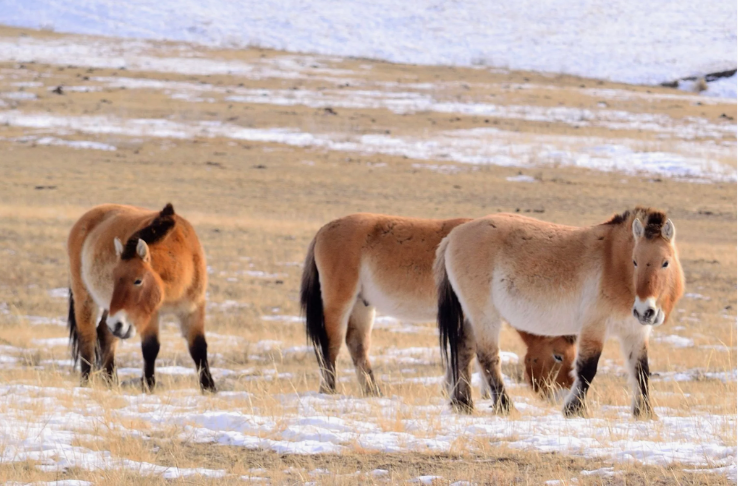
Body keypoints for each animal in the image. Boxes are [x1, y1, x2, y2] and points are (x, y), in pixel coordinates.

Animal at [65, 204, 216, 394]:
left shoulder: (193, 308)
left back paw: (112, 383)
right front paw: (148, 386)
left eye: (138, 280)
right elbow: (150, 348)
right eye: (114, 278)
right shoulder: (150, 314)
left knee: (105, 334)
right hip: (85, 299)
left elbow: (198, 347)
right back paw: (86, 384)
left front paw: (209, 387)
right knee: (87, 338)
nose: (117, 323)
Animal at [300, 215, 576, 398]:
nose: (561, 393)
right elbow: (470, 353)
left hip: (362, 305)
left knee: (357, 346)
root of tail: (323, 230)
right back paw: (329, 390)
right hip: (340, 301)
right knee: (331, 344)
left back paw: (373, 392)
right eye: (559, 356)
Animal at [434, 207, 680, 420]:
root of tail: (453, 236)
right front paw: (574, 409)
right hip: (485, 316)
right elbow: (587, 368)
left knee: (463, 351)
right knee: (487, 357)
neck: (614, 263)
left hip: (469, 316)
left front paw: (645, 413)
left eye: (665, 263)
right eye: (635, 261)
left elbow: (641, 371)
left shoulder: (635, 332)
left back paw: (463, 403)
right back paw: (505, 406)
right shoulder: (595, 326)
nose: (645, 311)